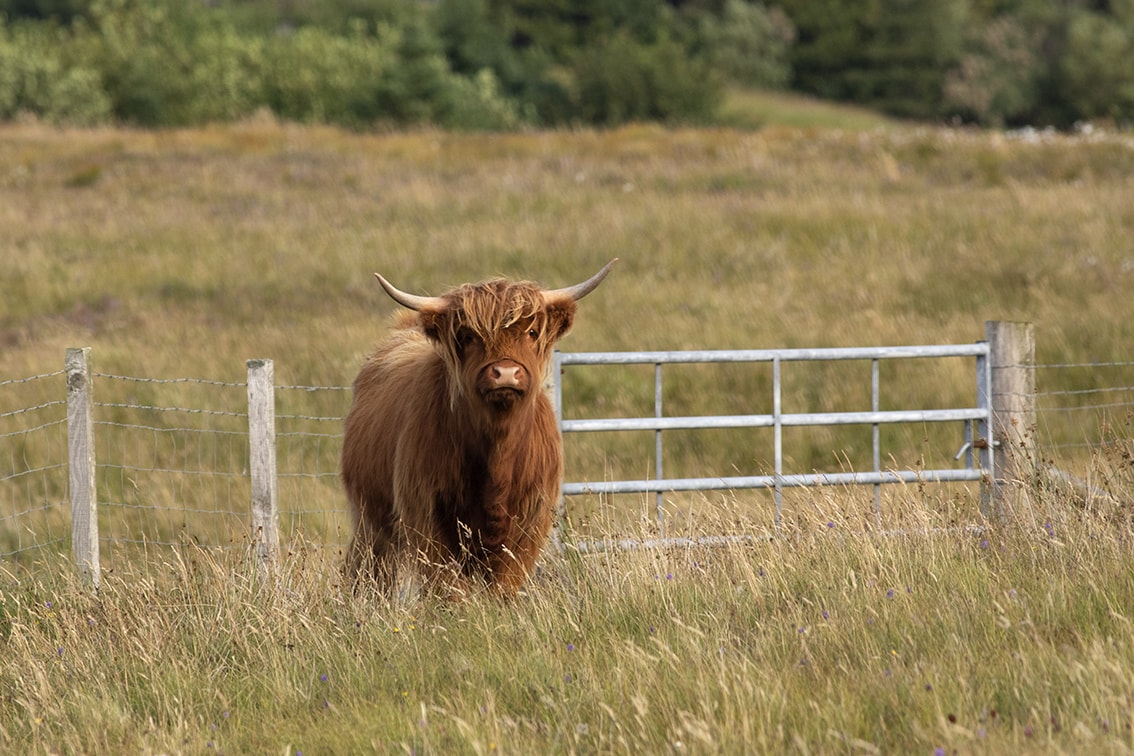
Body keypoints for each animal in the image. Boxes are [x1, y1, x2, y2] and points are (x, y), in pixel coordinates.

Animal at [340, 260, 616, 598]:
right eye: (469, 336)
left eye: (531, 331)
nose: (506, 373)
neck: (497, 457)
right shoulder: (426, 515)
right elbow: (448, 586)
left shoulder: (529, 520)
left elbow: (503, 584)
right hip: (371, 518)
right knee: (371, 568)